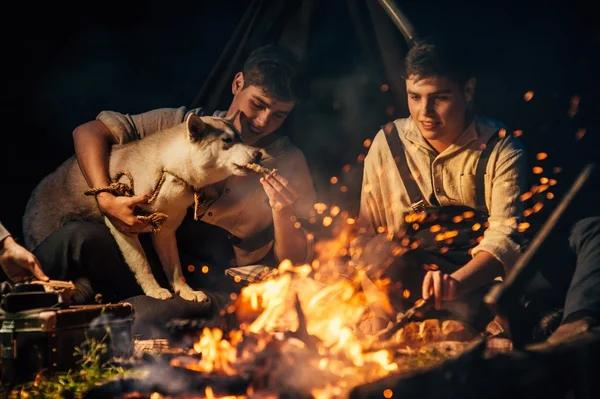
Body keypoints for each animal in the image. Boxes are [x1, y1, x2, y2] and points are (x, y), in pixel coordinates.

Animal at [22, 112, 262, 304]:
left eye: (241, 138)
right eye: (227, 140)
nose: (259, 153)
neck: (170, 169)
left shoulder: (165, 233)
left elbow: (175, 268)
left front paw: (185, 291)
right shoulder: (123, 228)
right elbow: (142, 264)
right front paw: (154, 290)